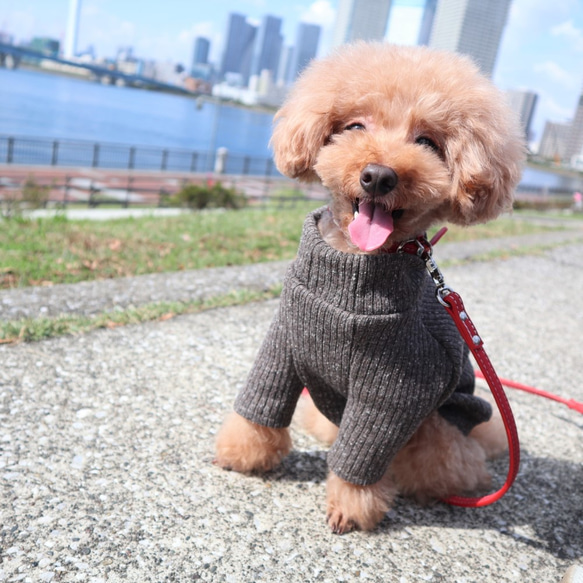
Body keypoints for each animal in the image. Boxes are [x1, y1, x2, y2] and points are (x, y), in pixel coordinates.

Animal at [214, 42, 524, 532]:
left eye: (427, 142)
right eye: (356, 126)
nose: (379, 175)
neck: (352, 270)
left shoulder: (395, 387)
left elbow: (364, 452)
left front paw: (352, 505)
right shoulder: (284, 342)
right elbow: (261, 401)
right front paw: (242, 452)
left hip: (437, 430)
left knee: (441, 465)